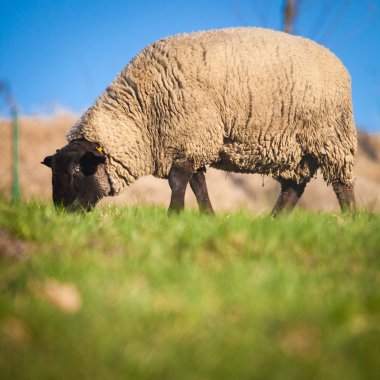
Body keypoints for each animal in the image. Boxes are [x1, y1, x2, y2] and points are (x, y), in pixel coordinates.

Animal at [41, 26, 356, 214]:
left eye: (76, 171)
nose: (62, 214)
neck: (141, 113)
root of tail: (337, 62)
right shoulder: (189, 141)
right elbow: (197, 184)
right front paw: (208, 217)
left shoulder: (192, 134)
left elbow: (178, 181)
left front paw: (174, 215)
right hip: (295, 151)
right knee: (293, 189)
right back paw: (273, 222)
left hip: (331, 137)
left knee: (342, 183)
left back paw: (350, 220)